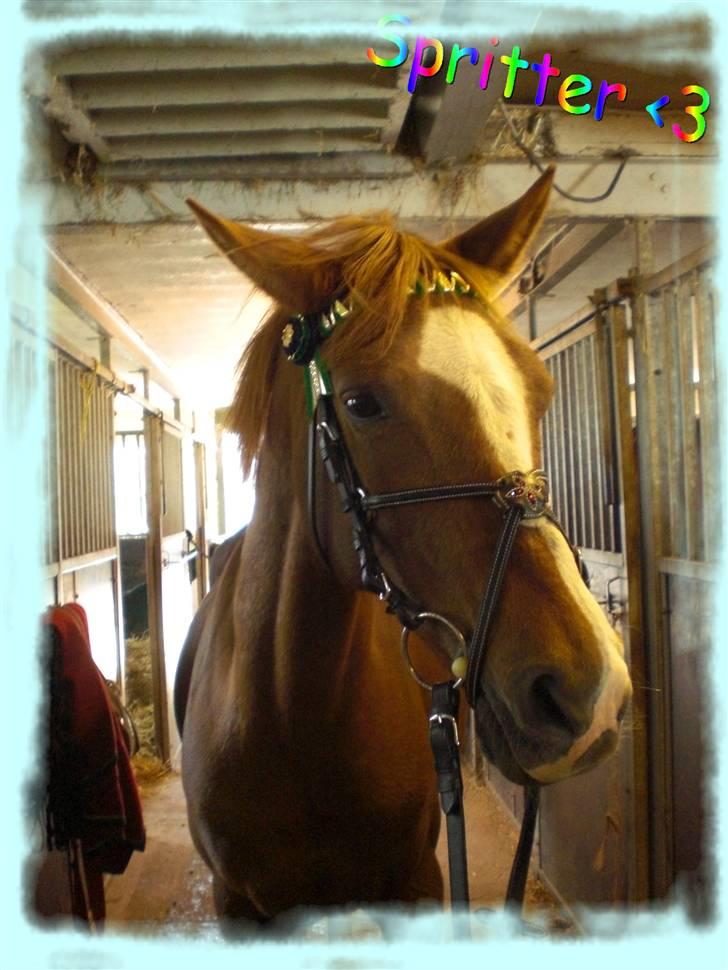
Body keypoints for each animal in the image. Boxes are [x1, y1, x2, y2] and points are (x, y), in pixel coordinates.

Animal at [175, 168, 632, 931]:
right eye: (362, 404)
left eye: (540, 391)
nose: (587, 695)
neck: (296, 712)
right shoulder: (237, 904)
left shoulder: (418, 879)